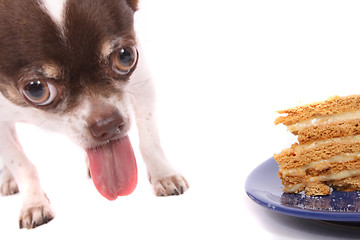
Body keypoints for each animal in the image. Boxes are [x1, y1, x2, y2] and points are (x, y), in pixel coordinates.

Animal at [0, 0, 188, 229]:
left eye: (125, 56)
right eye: (36, 89)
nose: (108, 124)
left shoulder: (141, 83)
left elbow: (150, 141)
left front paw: (163, 174)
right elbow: (20, 162)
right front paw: (34, 202)